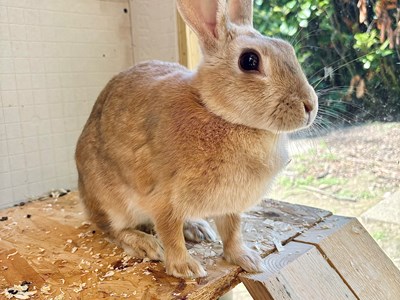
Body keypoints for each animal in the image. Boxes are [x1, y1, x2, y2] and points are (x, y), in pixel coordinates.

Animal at [75, 0, 318, 278]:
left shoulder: (230, 205)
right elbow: (170, 234)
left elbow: (232, 231)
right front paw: (185, 268)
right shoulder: (164, 199)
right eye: (249, 60)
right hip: (110, 201)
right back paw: (145, 243)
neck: (218, 113)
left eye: (288, 49)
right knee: (112, 228)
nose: (310, 106)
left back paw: (197, 228)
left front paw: (247, 259)